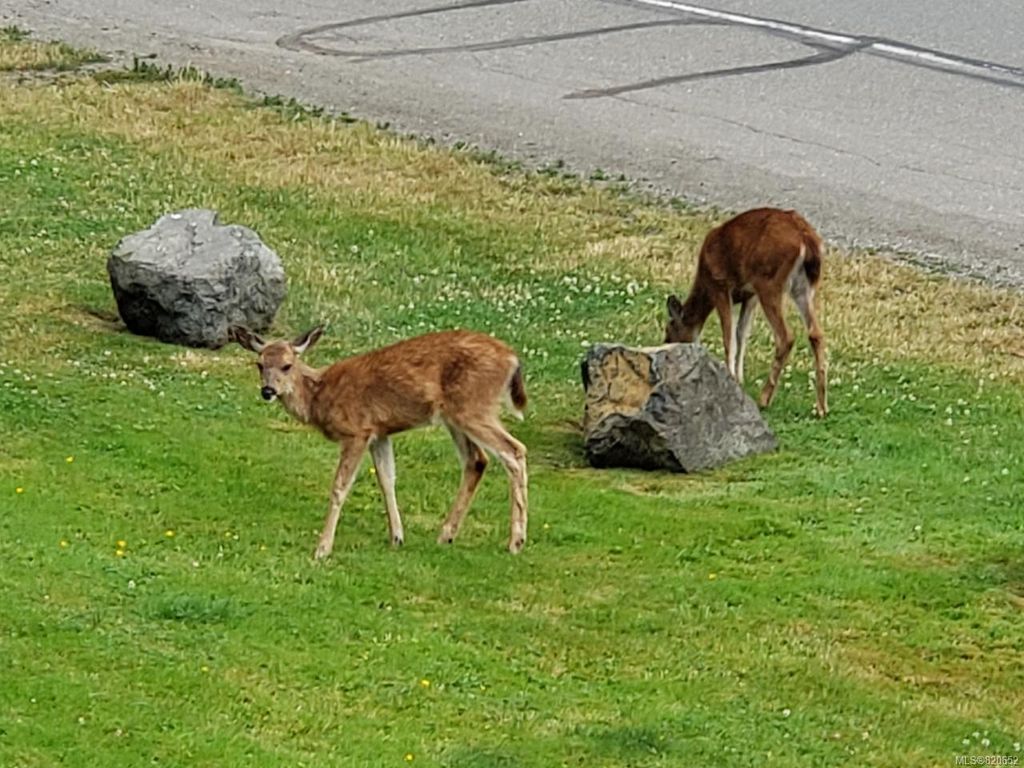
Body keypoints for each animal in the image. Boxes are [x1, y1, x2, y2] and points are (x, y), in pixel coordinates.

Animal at [230, 326, 529, 559]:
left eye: (287, 365)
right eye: (260, 365)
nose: (268, 390)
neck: (320, 396)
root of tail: (512, 358)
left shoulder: (357, 431)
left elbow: (340, 487)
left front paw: (322, 549)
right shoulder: (379, 432)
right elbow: (387, 479)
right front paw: (397, 537)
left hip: (474, 407)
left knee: (514, 450)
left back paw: (516, 542)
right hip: (456, 415)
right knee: (476, 460)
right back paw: (446, 535)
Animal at [664, 207, 828, 417]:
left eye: (669, 330)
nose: (665, 346)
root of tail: (806, 238)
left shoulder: (720, 285)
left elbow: (729, 337)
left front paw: (731, 376)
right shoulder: (749, 296)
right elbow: (741, 333)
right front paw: (739, 377)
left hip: (769, 281)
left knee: (786, 336)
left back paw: (764, 399)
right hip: (803, 286)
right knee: (816, 333)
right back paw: (822, 407)